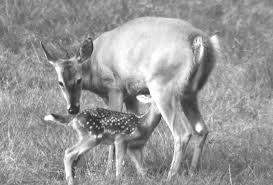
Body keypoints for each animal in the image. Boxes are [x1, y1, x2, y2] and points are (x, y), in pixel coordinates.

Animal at [41, 16, 219, 180]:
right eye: (60, 82)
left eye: (79, 80)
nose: (72, 109)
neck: (94, 66)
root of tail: (198, 39)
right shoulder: (131, 95)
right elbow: (134, 121)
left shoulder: (114, 88)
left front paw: (109, 172)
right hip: (189, 93)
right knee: (201, 129)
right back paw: (192, 171)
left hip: (162, 87)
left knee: (182, 133)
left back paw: (170, 175)